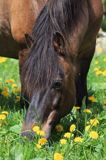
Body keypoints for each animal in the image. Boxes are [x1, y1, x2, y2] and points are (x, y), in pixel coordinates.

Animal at [20, 0, 103, 139]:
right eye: (28, 82)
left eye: (57, 84)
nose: (28, 135)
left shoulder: (89, 48)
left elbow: (81, 89)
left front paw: (83, 116)